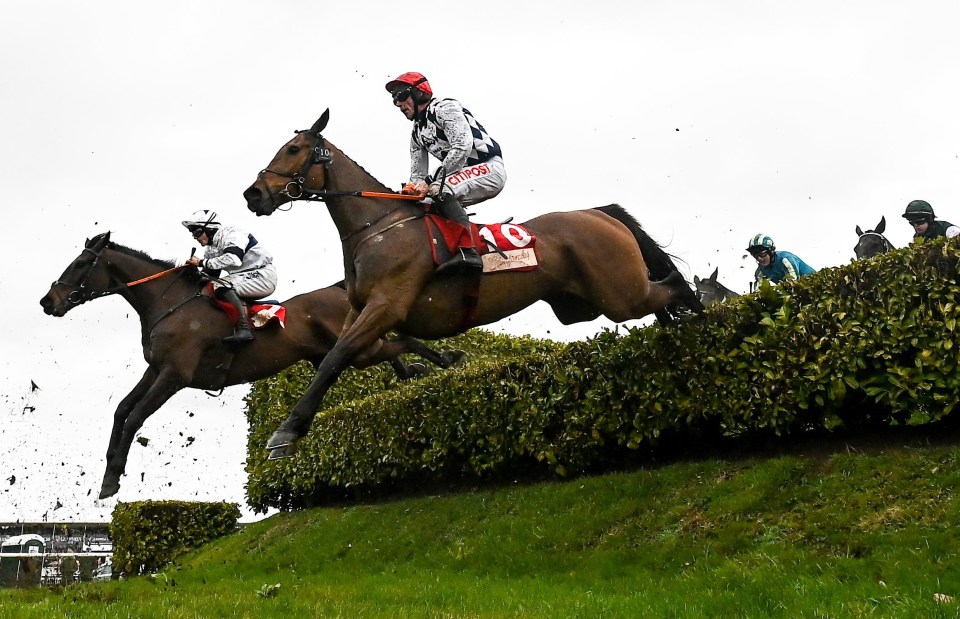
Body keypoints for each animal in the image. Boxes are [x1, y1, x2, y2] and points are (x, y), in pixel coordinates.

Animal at [39, 232, 466, 498]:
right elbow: (122, 410)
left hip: (357, 348)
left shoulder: (175, 375)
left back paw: (444, 360)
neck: (168, 304)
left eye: (80, 263)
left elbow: (136, 417)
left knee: (400, 341)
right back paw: (422, 369)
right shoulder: (156, 370)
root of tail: (338, 290)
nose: (48, 302)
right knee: (392, 347)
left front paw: (112, 480)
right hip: (339, 353)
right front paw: (108, 471)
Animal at [242, 109, 704, 458]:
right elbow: (344, 358)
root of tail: (599, 212)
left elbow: (335, 358)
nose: (253, 194)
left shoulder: (387, 305)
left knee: (673, 284)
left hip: (618, 294)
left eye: (294, 149)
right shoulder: (358, 310)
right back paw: (678, 331)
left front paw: (285, 433)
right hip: (585, 304)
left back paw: (701, 325)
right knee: (660, 296)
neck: (379, 228)